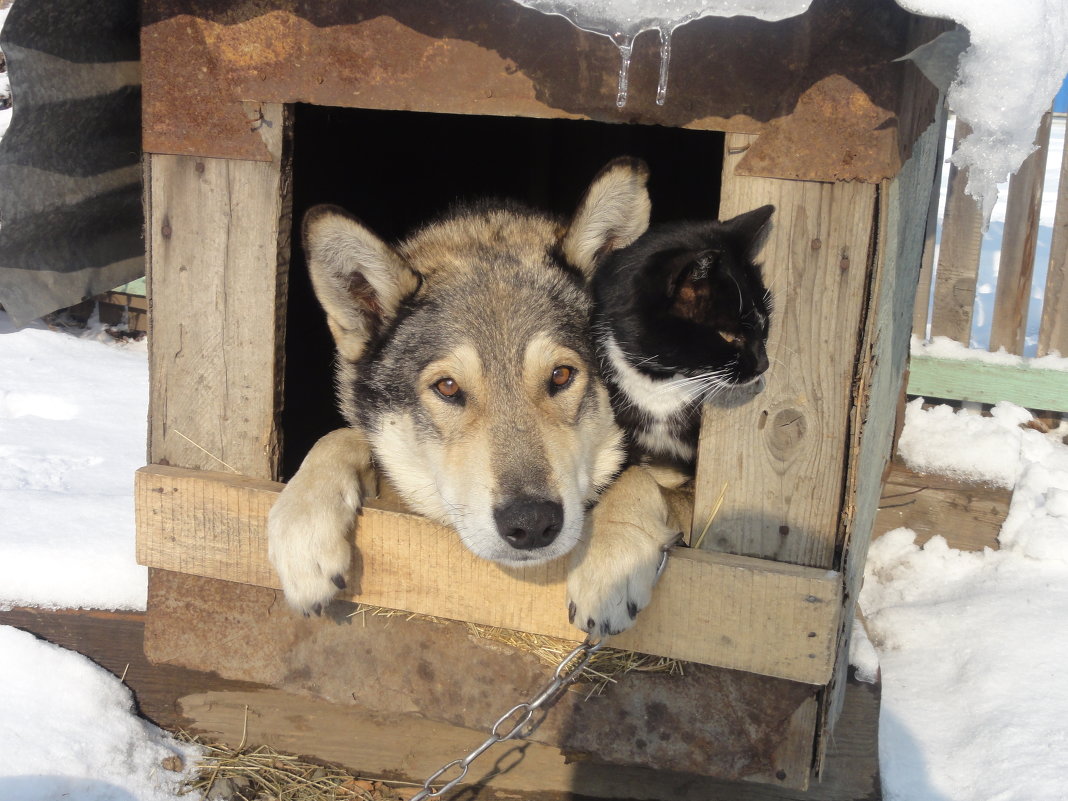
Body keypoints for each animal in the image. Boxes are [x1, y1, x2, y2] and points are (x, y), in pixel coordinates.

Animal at [271, 160, 679, 636]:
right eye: (448, 387)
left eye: (561, 375)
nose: (531, 523)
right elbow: (339, 436)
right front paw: (303, 527)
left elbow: (641, 477)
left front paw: (612, 562)